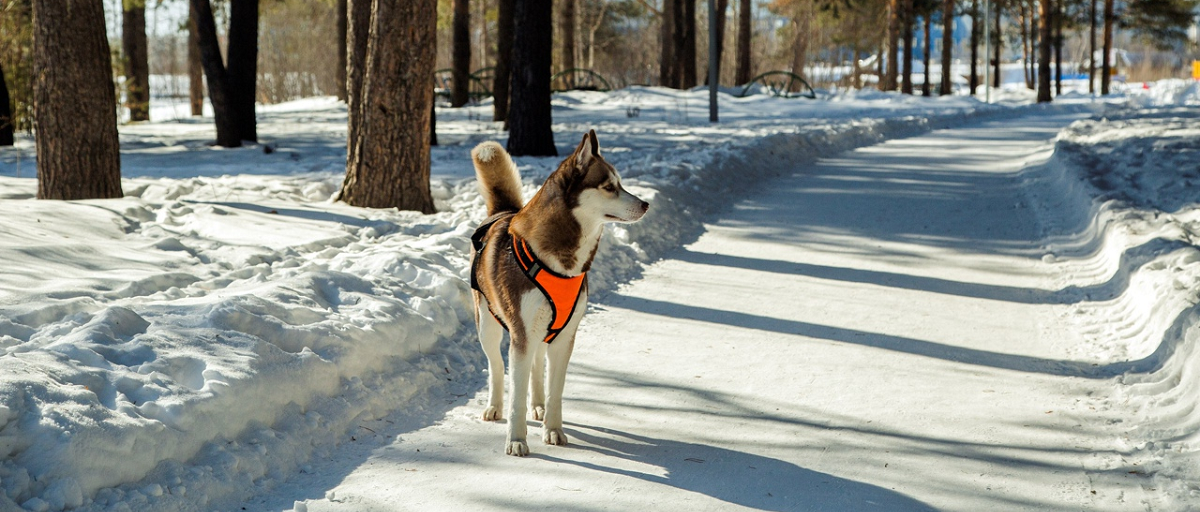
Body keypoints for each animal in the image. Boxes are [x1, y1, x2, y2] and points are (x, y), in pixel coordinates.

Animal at [465, 129, 648, 458]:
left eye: (621, 183)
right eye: (609, 187)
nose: (645, 204)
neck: (561, 265)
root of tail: (502, 211)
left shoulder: (565, 336)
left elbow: (556, 390)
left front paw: (552, 429)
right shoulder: (521, 334)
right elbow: (516, 395)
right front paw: (516, 440)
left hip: (542, 328)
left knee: (537, 364)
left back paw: (537, 405)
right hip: (488, 323)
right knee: (497, 365)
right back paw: (494, 405)